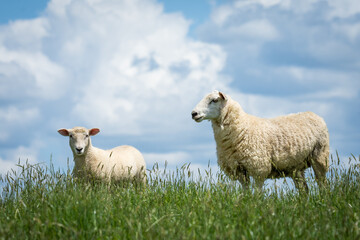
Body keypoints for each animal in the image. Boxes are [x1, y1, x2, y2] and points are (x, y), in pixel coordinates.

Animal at [191, 91, 330, 192]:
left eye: (214, 100)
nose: (193, 113)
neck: (243, 128)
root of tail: (313, 114)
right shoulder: (239, 170)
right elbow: (246, 192)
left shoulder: (258, 168)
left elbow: (257, 193)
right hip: (296, 166)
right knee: (304, 190)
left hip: (319, 156)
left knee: (322, 184)